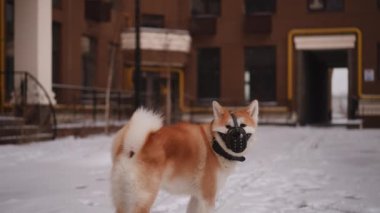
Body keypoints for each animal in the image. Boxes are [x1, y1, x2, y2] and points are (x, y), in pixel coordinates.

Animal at [110, 100, 258, 213]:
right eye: (228, 127)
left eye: (243, 125)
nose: (237, 137)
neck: (214, 145)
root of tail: (132, 147)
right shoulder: (208, 198)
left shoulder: (196, 198)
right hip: (144, 197)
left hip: (123, 199)